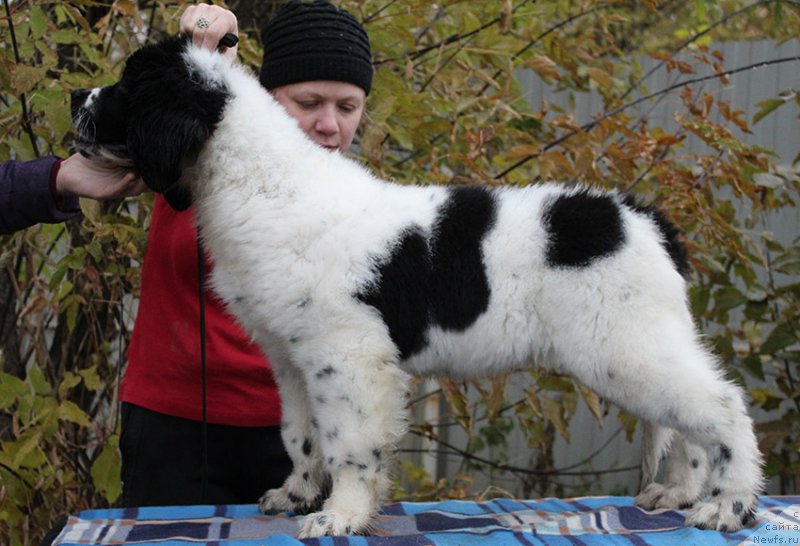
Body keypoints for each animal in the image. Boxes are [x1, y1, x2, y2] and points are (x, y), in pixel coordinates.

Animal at [73, 39, 764, 536]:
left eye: (127, 88)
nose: (79, 92)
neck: (263, 182)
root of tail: (644, 218)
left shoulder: (346, 355)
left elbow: (349, 444)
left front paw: (342, 517)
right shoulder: (293, 358)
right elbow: (301, 436)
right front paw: (297, 497)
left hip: (623, 345)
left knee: (722, 408)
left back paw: (725, 506)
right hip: (636, 344)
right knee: (687, 426)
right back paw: (678, 493)